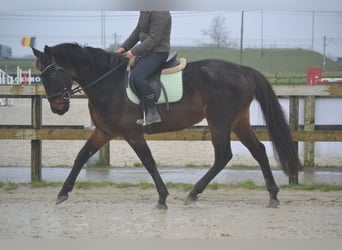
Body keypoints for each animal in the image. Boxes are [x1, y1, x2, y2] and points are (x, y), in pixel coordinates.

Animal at [31, 43, 300, 209]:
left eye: (50, 74)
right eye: (40, 76)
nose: (58, 108)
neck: (108, 83)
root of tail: (244, 70)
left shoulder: (132, 134)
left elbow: (149, 162)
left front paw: (162, 197)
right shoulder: (103, 132)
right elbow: (81, 157)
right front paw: (63, 193)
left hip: (220, 122)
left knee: (223, 156)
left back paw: (194, 193)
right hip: (239, 122)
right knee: (259, 151)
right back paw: (273, 194)